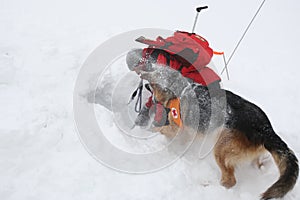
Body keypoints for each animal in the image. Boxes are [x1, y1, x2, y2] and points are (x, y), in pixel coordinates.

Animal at [138, 67, 298, 200]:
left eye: (152, 82)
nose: (143, 81)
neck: (181, 89)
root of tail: (265, 128)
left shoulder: (176, 129)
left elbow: (159, 129)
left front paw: (144, 133)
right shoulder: (187, 132)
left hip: (220, 149)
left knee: (229, 181)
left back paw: (209, 187)